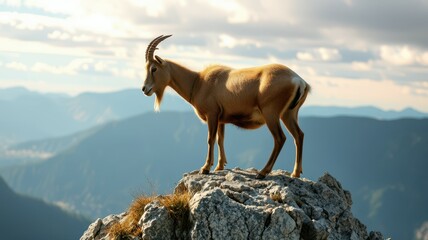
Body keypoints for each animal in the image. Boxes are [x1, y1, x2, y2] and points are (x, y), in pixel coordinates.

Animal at [142, 35, 310, 178]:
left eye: (154, 68)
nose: (144, 89)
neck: (198, 82)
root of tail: (298, 80)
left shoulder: (212, 115)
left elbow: (210, 139)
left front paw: (205, 168)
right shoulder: (221, 119)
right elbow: (220, 139)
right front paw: (219, 166)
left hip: (271, 114)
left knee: (280, 138)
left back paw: (263, 172)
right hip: (288, 114)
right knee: (299, 135)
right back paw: (295, 173)